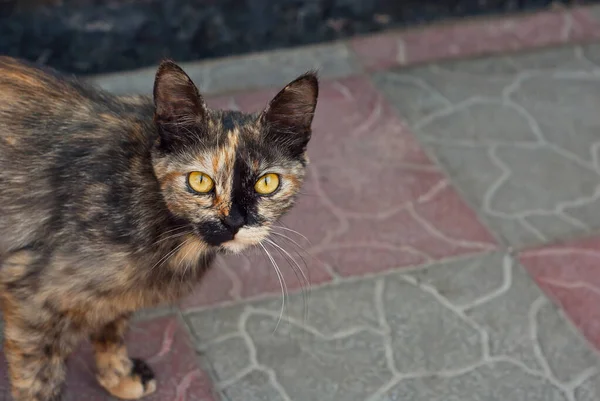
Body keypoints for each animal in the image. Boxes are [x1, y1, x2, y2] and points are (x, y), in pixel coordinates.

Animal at [0, 57, 318, 400]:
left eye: (267, 183)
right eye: (199, 181)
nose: (233, 221)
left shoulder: (112, 297)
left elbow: (112, 327)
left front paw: (119, 376)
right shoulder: (32, 300)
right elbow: (39, 382)